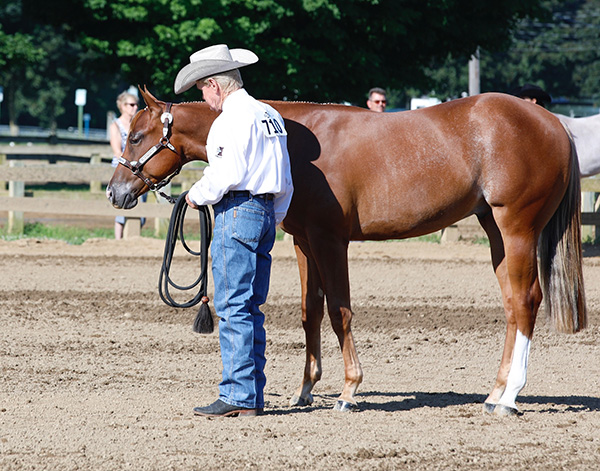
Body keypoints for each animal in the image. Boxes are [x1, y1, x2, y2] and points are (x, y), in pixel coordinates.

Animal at [108, 88, 584, 416]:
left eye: (136, 136)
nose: (115, 192)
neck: (293, 143)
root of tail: (553, 122)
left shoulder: (329, 239)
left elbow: (339, 311)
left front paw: (349, 390)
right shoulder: (303, 241)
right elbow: (310, 312)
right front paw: (304, 390)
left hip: (517, 228)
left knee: (526, 300)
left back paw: (510, 398)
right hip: (495, 231)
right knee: (512, 305)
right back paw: (496, 392)